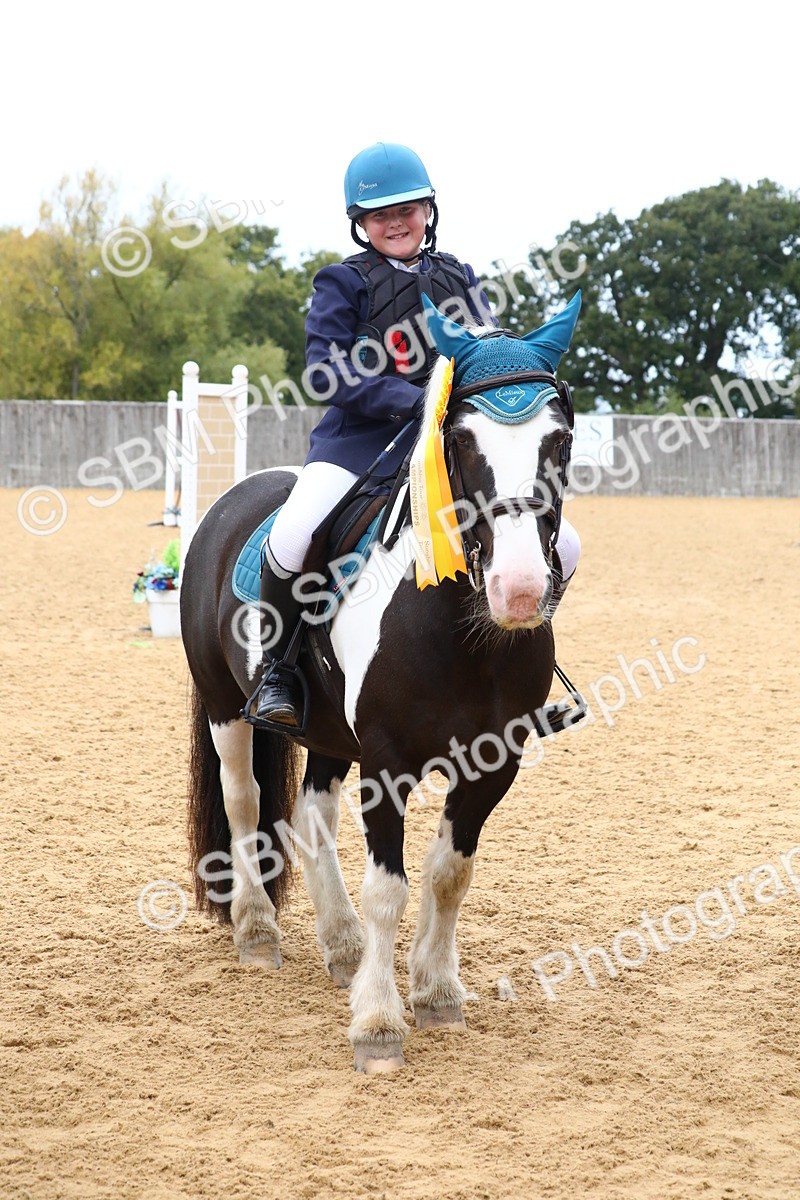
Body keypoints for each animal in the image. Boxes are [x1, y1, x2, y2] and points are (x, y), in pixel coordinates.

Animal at [180, 292, 583, 1074]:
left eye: (560, 439)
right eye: (460, 440)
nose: (519, 591)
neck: (463, 634)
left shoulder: (493, 763)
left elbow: (448, 875)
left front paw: (436, 994)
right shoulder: (388, 763)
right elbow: (388, 888)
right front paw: (377, 1024)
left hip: (328, 733)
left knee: (308, 817)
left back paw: (340, 946)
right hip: (225, 708)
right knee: (245, 802)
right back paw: (258, 932)